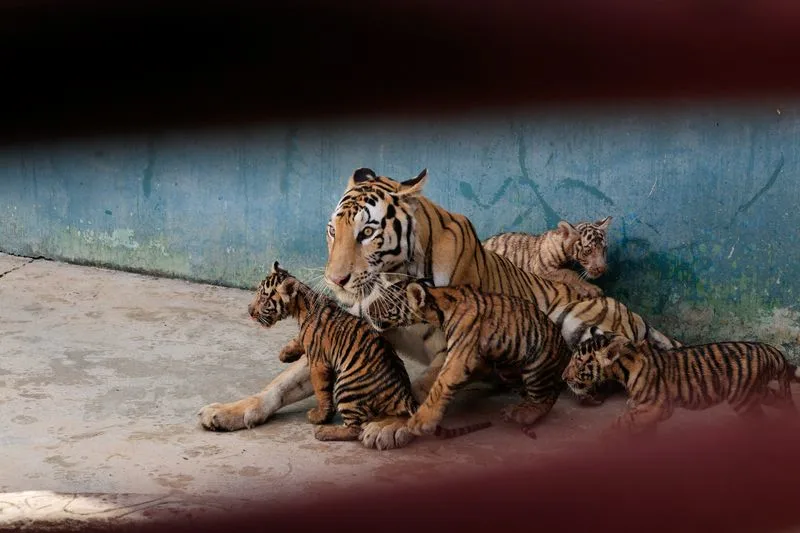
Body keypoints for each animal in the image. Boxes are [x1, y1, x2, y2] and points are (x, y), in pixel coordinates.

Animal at [237, 261, 491, 444]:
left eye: (263, 298)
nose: (249, 311)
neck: (302, 306)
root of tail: (403, 394)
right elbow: (298, 340)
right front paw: (285, 353)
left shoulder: (319, 362)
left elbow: (321, 391)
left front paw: (319, 416)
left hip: (346, 387)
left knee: (355, 429)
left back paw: (324, 432)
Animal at [482, 217, 612, 299]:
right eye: (588, 251)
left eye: (604, 249)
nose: (602, 269)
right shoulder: (542, 269)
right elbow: (569, 273)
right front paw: (591, 288)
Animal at [562, 327, 800, 437]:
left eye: (578, 361)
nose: (563, 377)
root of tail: (770, 350)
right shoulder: (646, 410)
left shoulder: (653, 407)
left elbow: (619, 422)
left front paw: (605, 439)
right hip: (758, 393)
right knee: (782, 401)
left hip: (744, 399)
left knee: (761, 421)